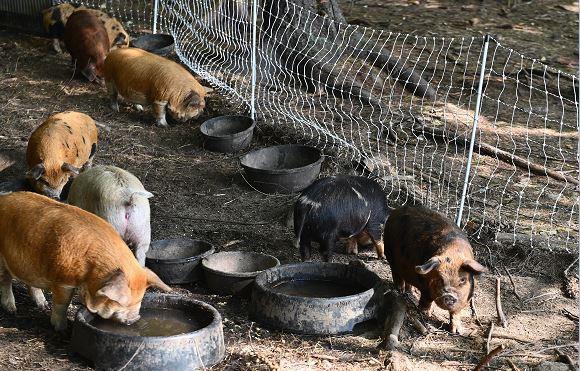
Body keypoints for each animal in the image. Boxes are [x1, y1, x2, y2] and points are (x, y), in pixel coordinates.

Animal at [0, 192, 172, 332]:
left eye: (140, 299)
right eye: (123, 302)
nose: (135, 319)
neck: (91, 272)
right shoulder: (63, 280)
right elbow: (62, 303)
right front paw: (61, 329)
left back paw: (42, 305)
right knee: (5, 280)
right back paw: (12, 310)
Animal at [382, 206, 488, 334]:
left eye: (462, 280)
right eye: (440, 279)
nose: (449, 295)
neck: (453, 253)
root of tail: (397, 210)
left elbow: (456, 312)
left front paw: (457, 331)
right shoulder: (425, 286)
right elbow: (426, 299)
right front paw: (425, 314)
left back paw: (410, 293)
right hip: (389, 255)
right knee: (396, 274)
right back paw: (400, 291)